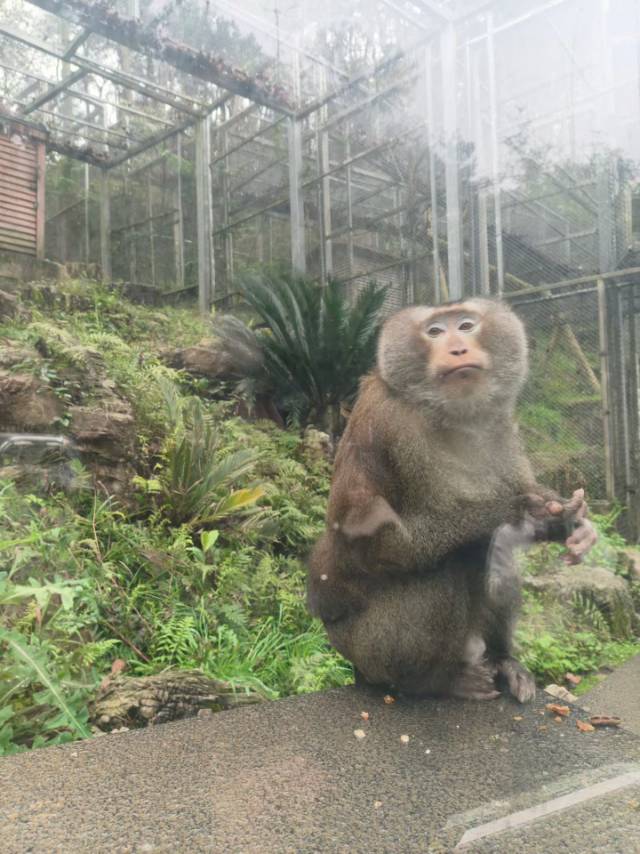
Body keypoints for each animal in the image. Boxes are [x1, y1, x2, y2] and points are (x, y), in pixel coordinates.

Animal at [307, 299, 597, 702]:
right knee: (454, 561)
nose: (458, 348)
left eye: (466, 325)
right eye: (435, 332)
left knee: (494, 557)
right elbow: (375, 541)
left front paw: (571, 523)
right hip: (367, 646)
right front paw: (517, 512)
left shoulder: (499, 423)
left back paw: (502, 660)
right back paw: (428, 682)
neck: (450, 415)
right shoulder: (392, 422)